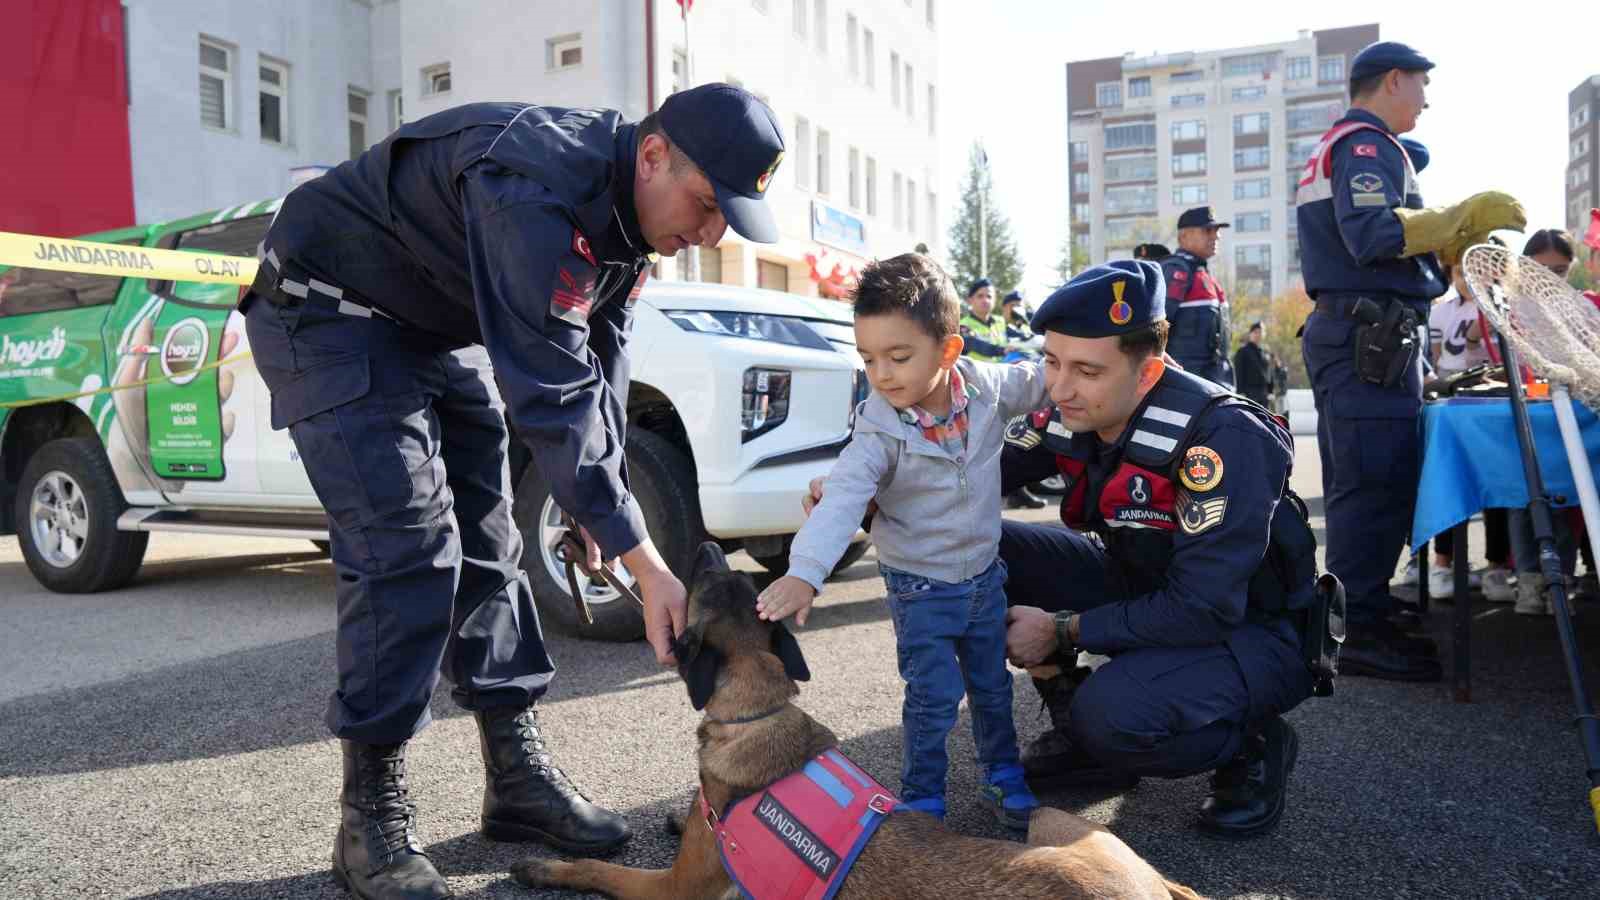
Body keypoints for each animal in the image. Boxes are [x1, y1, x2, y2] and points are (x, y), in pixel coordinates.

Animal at [512, 538, 1203, 896]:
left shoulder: (673, 889)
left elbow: (601, 869)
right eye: (730, 580)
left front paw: (545, 867)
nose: (707, 541)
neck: (759, 710)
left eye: (706, 578)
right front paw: (683, 816)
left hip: (1048, 821)